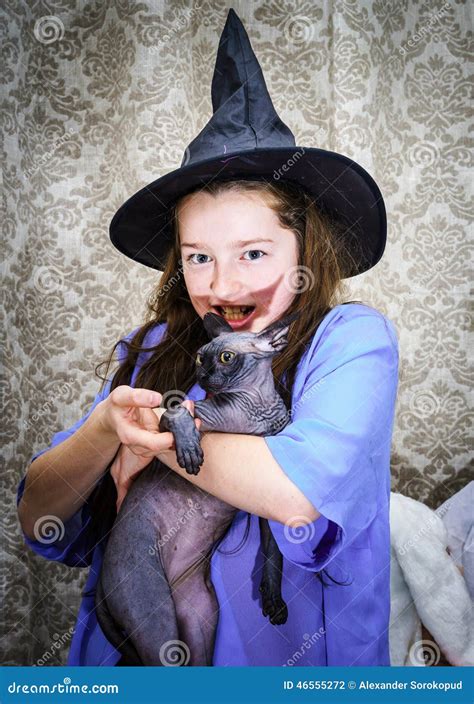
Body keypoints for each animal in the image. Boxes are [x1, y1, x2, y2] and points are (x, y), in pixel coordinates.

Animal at [95, 312, 298, 664]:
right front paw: (190, 449)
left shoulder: (267, 503)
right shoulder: (182, 412)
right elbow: (178, 409)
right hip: (155, 615)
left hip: (199, 616)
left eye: (226, 357)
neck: (256, 411)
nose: (202, 373)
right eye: (202, 356)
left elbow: (274, 552)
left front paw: (273, 597)